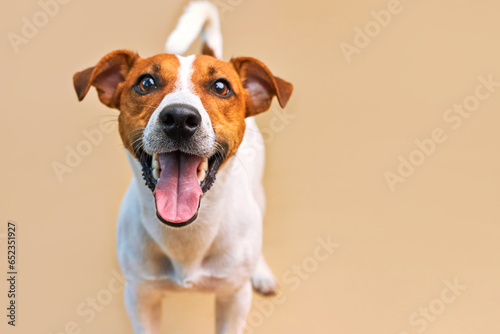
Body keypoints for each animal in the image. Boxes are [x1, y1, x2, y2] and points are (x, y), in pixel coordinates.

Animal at [73, 1, 292, 332]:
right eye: (146, 82)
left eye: (221, 86)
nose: (179, 118)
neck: (187, 235)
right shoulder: (140, 296)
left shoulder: (233, 298)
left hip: (258, 195)